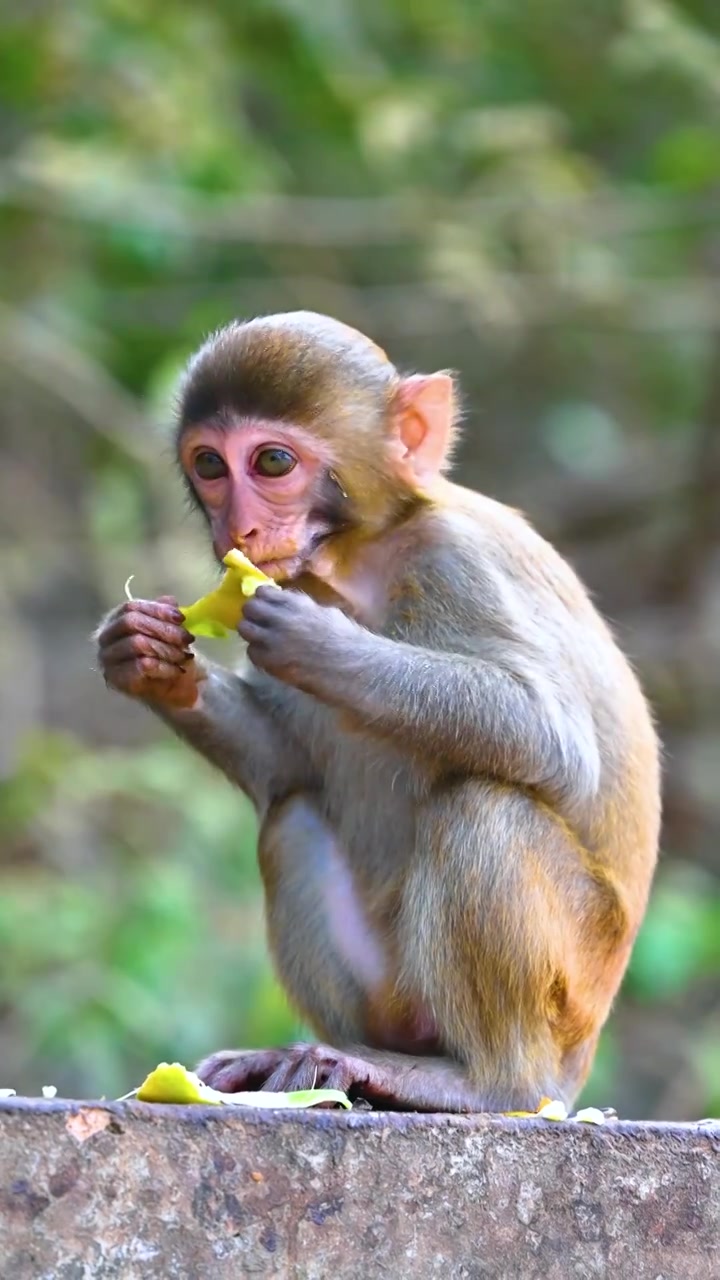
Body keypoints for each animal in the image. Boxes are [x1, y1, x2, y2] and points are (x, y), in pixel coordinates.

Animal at [92, 309, 661, 1111]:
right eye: (209, 465)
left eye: (271, 462)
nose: (238, 531)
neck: (355, 558)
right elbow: (284, 766)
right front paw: (144, 657)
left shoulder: (458, 561)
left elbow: (554, 740)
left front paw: (318, 643)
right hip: (392, 996)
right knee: (293, 818)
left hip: (571, 991)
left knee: (483, 806)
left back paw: (481, 1083)